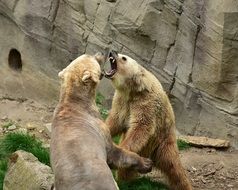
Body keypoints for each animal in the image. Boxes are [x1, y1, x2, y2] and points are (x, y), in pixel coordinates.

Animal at [50, 52, 152, 190]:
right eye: (90, 56)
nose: (102, 53)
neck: (76, 102)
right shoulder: (98, 128)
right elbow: (114, 154)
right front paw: (146, 163)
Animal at [104, 50, 193, 190]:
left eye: (124, 58)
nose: (112, 51)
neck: (133, 90)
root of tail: (152, 156)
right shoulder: (122, 101)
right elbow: (116, 121)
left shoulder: (146, 103)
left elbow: (141, 127)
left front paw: (122, 147)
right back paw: (125, 180)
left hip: (163, 142)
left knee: (174, 169)